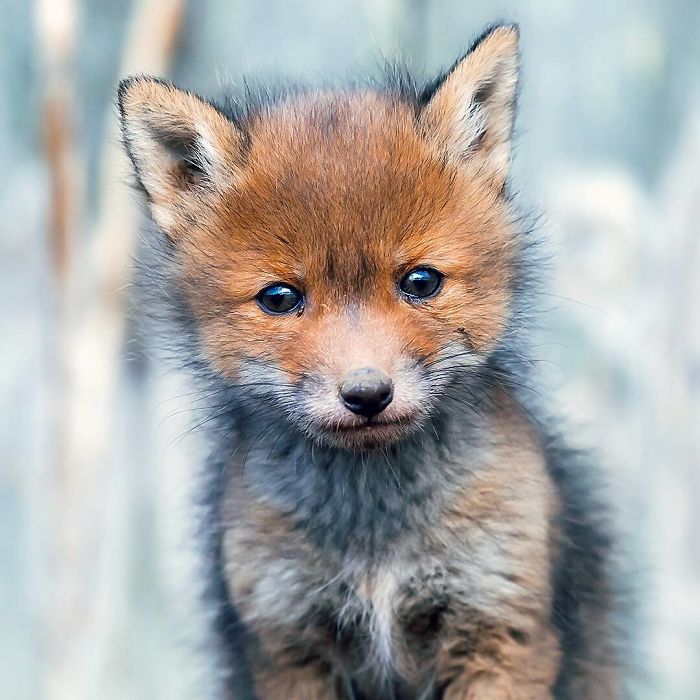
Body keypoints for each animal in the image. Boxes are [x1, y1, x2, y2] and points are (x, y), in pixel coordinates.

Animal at [118, 23, 624, 700]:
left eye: (420, 282)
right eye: (280, 298)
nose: (366, 394)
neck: (376, 539)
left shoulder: (496, 626)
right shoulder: (290, 641)